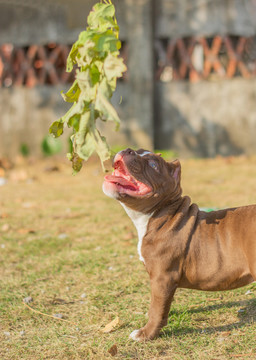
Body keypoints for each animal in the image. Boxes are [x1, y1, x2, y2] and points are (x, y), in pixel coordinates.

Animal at [102, 148, 256, 342]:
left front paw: (146, 333)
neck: (159, 214)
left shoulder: (162, 278)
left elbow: (156, 309)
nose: (128, 150)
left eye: (153, 165)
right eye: (138, 151)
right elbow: (161, 305)